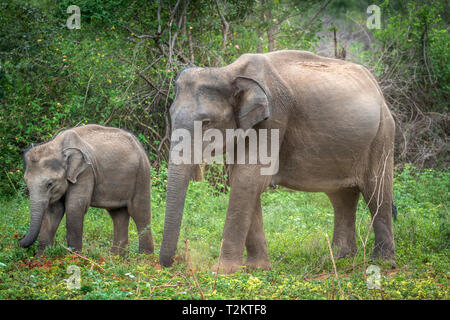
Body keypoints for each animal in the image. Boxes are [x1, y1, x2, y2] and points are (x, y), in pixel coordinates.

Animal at [20, 124, 154, 256]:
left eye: (49, 184)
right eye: (26, 182)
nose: (20, 240)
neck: (58, 146)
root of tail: (139, 145)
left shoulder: (85, 171)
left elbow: (74, 207)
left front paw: (75, 257)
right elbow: (53, 211)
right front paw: (41, 258)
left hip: (142, 174)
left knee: (139, 212)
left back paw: (144, 257)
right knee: (118, 214)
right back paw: (117, 257)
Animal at [160, 50, 396, 272]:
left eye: (206, 122)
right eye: (170, 115)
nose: (175, 262)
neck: (228, 72)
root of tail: (377, 87)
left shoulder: (274, 117)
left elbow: (248, 178)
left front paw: (222, 271)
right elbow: (243, 179)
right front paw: (256, 268)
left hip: (382, 135)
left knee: (377, 191)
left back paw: (382, 262)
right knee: (342, 196)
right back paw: (340, 257)